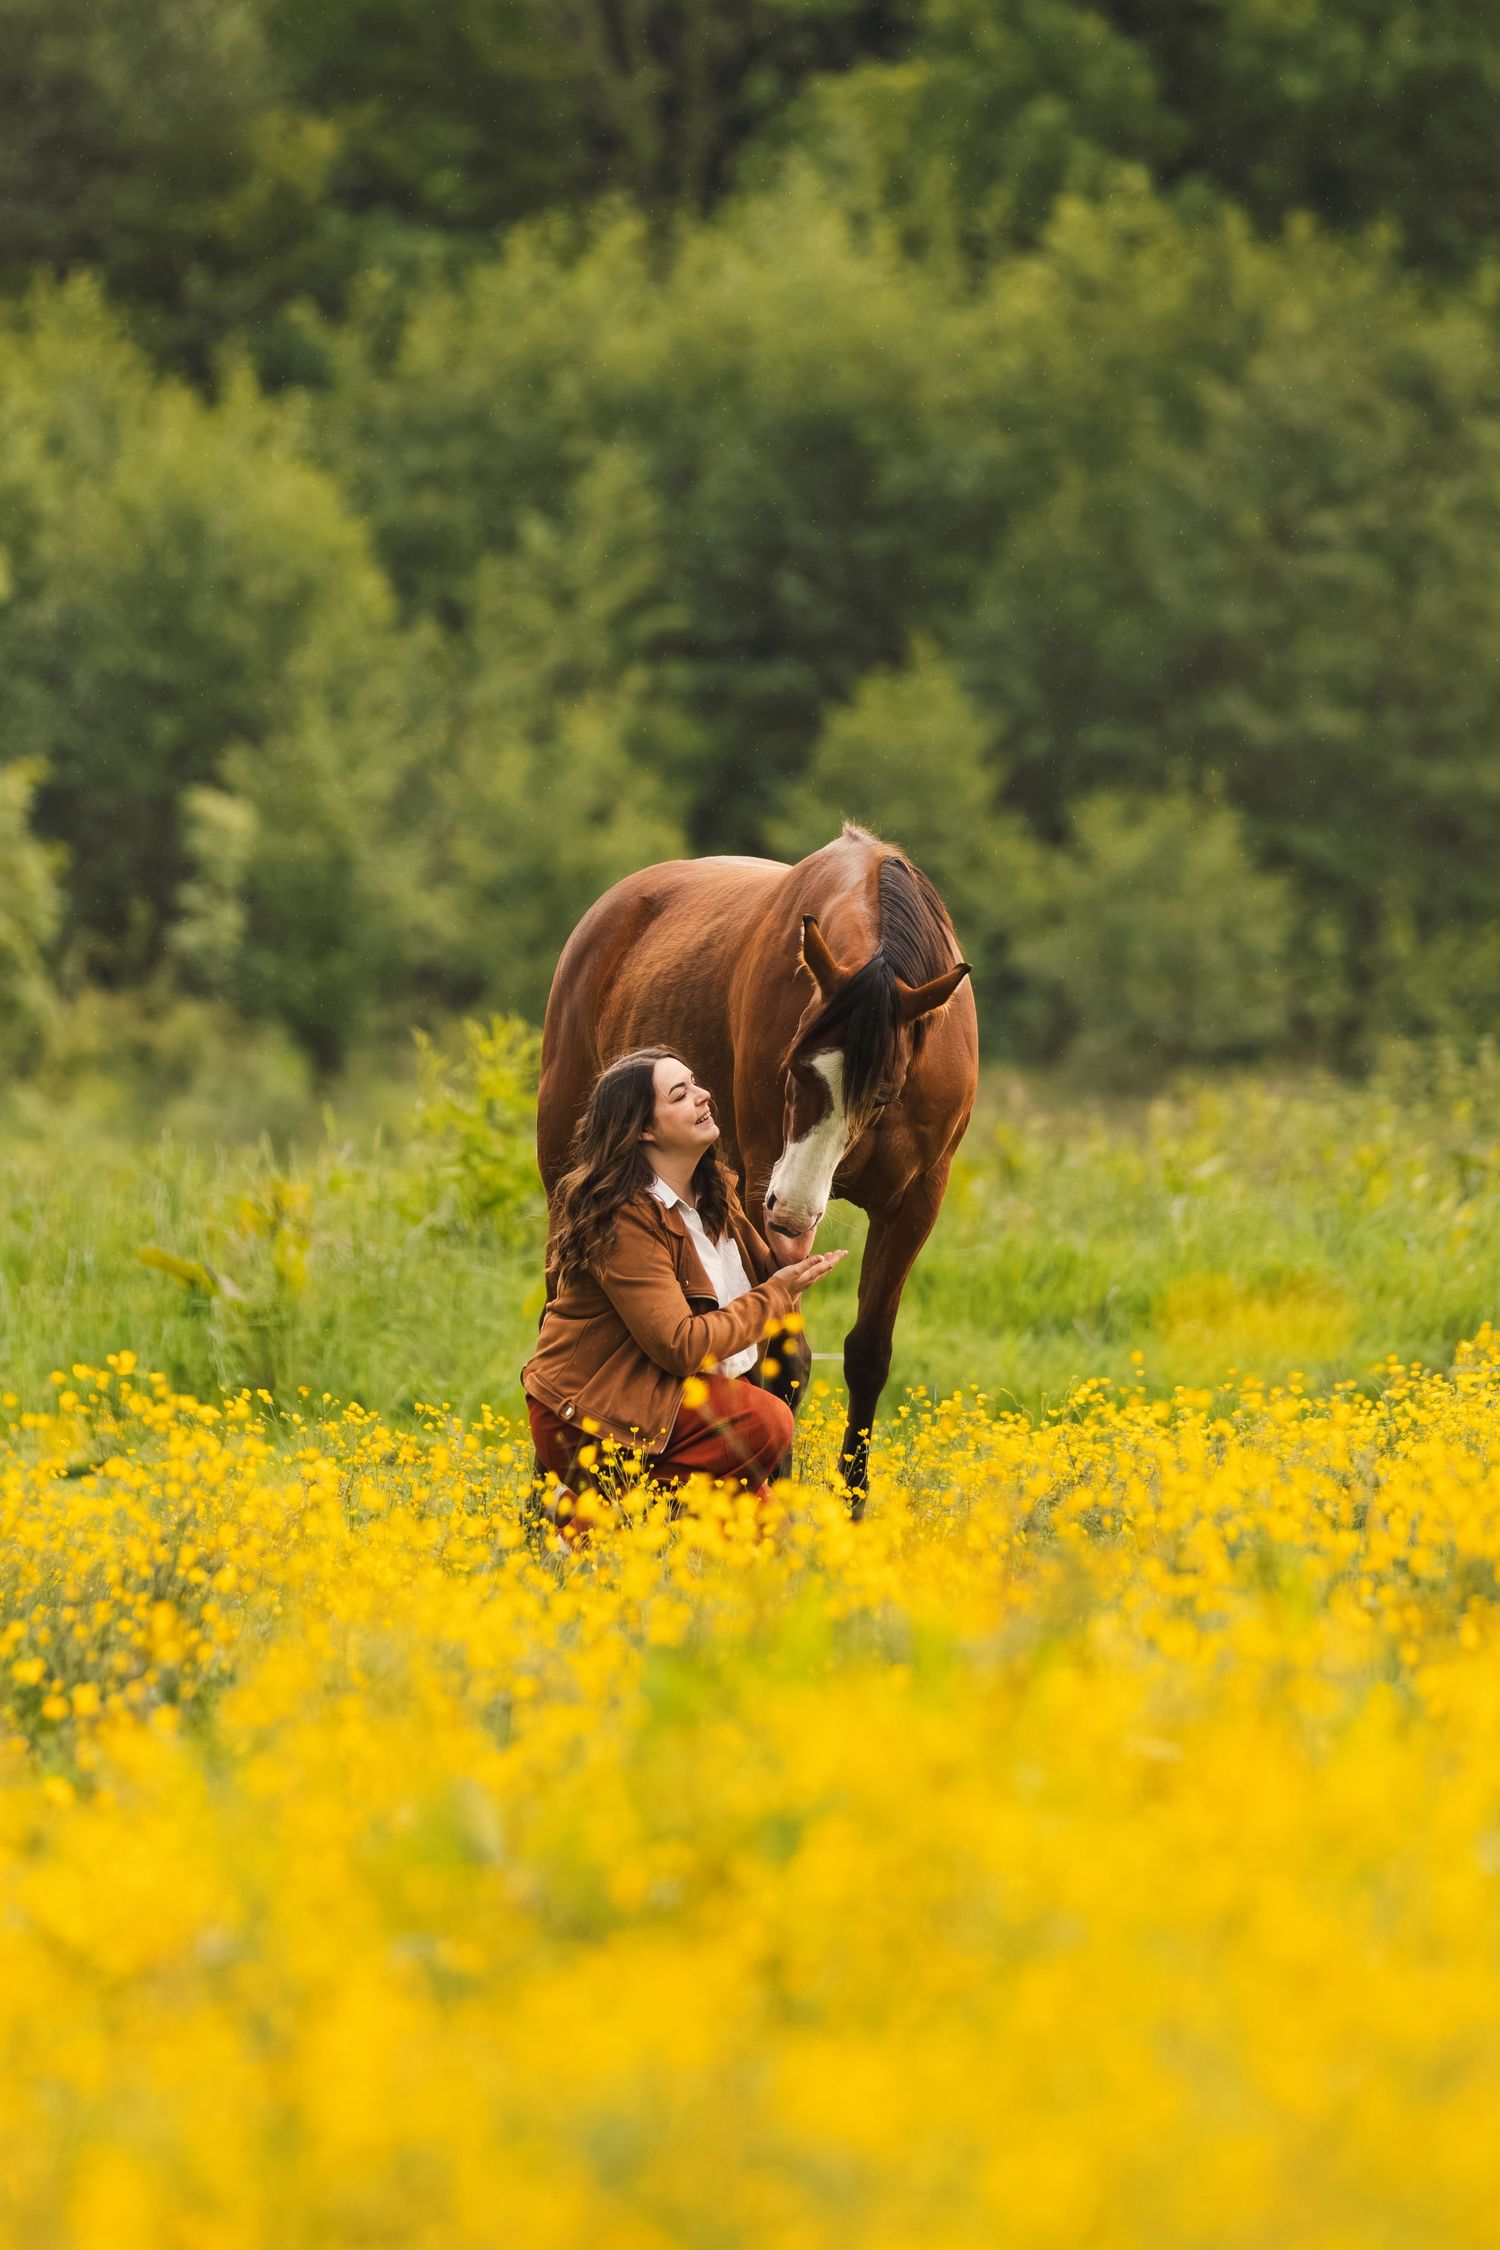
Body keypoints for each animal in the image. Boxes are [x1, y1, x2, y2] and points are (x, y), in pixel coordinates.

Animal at [536, 823, 977, 1512]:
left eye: (884, 1093)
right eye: (795, 1066)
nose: (792, 1212)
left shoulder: (913, 1207)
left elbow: (867, 1356)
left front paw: (851, 1509)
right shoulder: (754, 1190)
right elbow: (783, 1359)